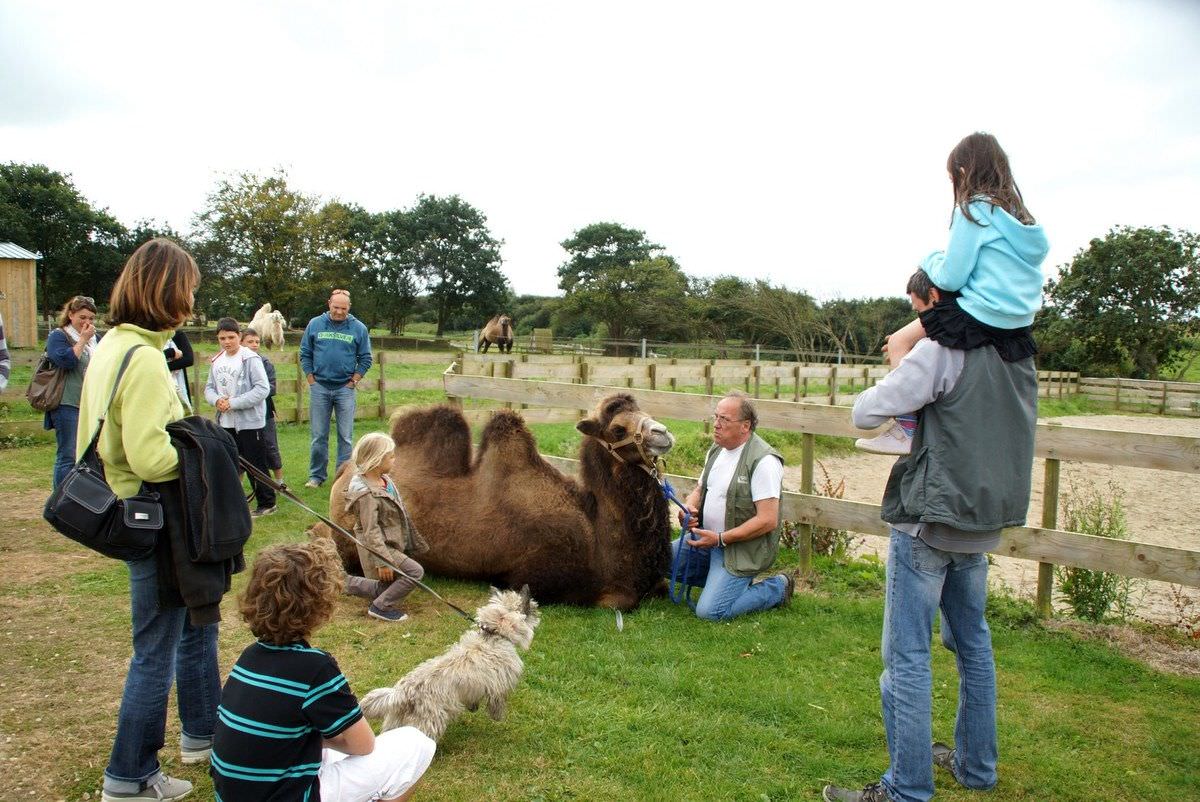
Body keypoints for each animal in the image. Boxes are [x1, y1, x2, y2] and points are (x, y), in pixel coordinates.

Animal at [316, 393, 676, 607]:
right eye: (617, 429)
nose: (663, 433)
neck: (595, 534)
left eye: (645, 411)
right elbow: (618, 601)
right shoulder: (542, 579)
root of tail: (346, 470)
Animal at [357, 585, 542, 744]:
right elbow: (497, 702)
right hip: (429, 722)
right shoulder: (498, 686)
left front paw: (474, 707)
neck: (493, 635)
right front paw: (498, 716)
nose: (537, 610)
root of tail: (402, 692)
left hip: (396, 720)